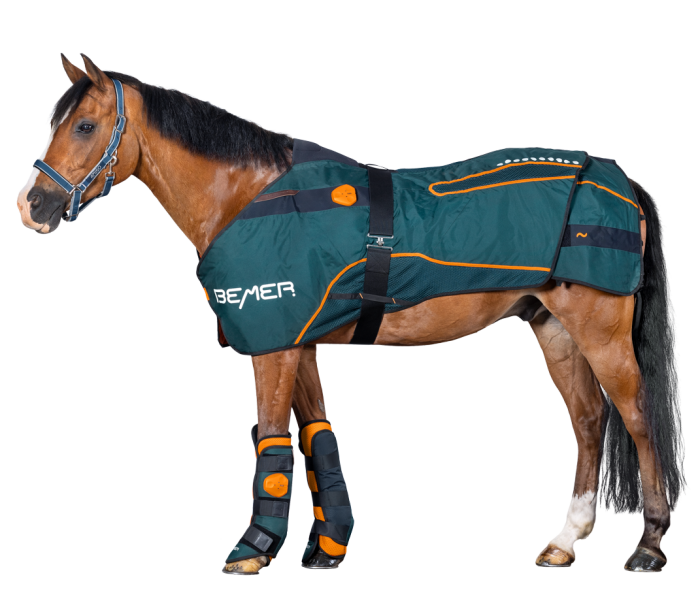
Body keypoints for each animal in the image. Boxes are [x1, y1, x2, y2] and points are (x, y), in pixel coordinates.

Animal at [17, 53, 686, 575]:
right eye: (55, 123)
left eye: (84, 125)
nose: (33, 206)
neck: (250, 197)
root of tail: (612, 176)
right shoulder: (302, 343)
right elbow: (317, 440)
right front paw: (327, 547)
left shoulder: (275, 345)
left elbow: (271, 440)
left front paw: (253, 548)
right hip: (555, 330)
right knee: (589, 421)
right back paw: (565, 541)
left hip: (601, 333)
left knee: (637, 419)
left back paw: (649, 545)